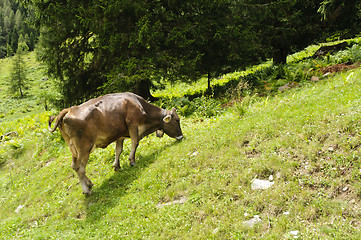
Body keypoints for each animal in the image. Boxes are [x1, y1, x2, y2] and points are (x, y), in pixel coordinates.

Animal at [48, 91, 183, 193]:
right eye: (177, 120)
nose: (181, 136)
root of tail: (68, 110)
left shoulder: (120, 134)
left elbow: (119, 150)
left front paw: (117, 166)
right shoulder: (132, 124)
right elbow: (135, 142)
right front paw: (132, 161)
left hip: (73, 149)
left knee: (74, 166)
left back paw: (89, 183)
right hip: (84, 147)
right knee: (80, 168)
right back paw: (86, 189)